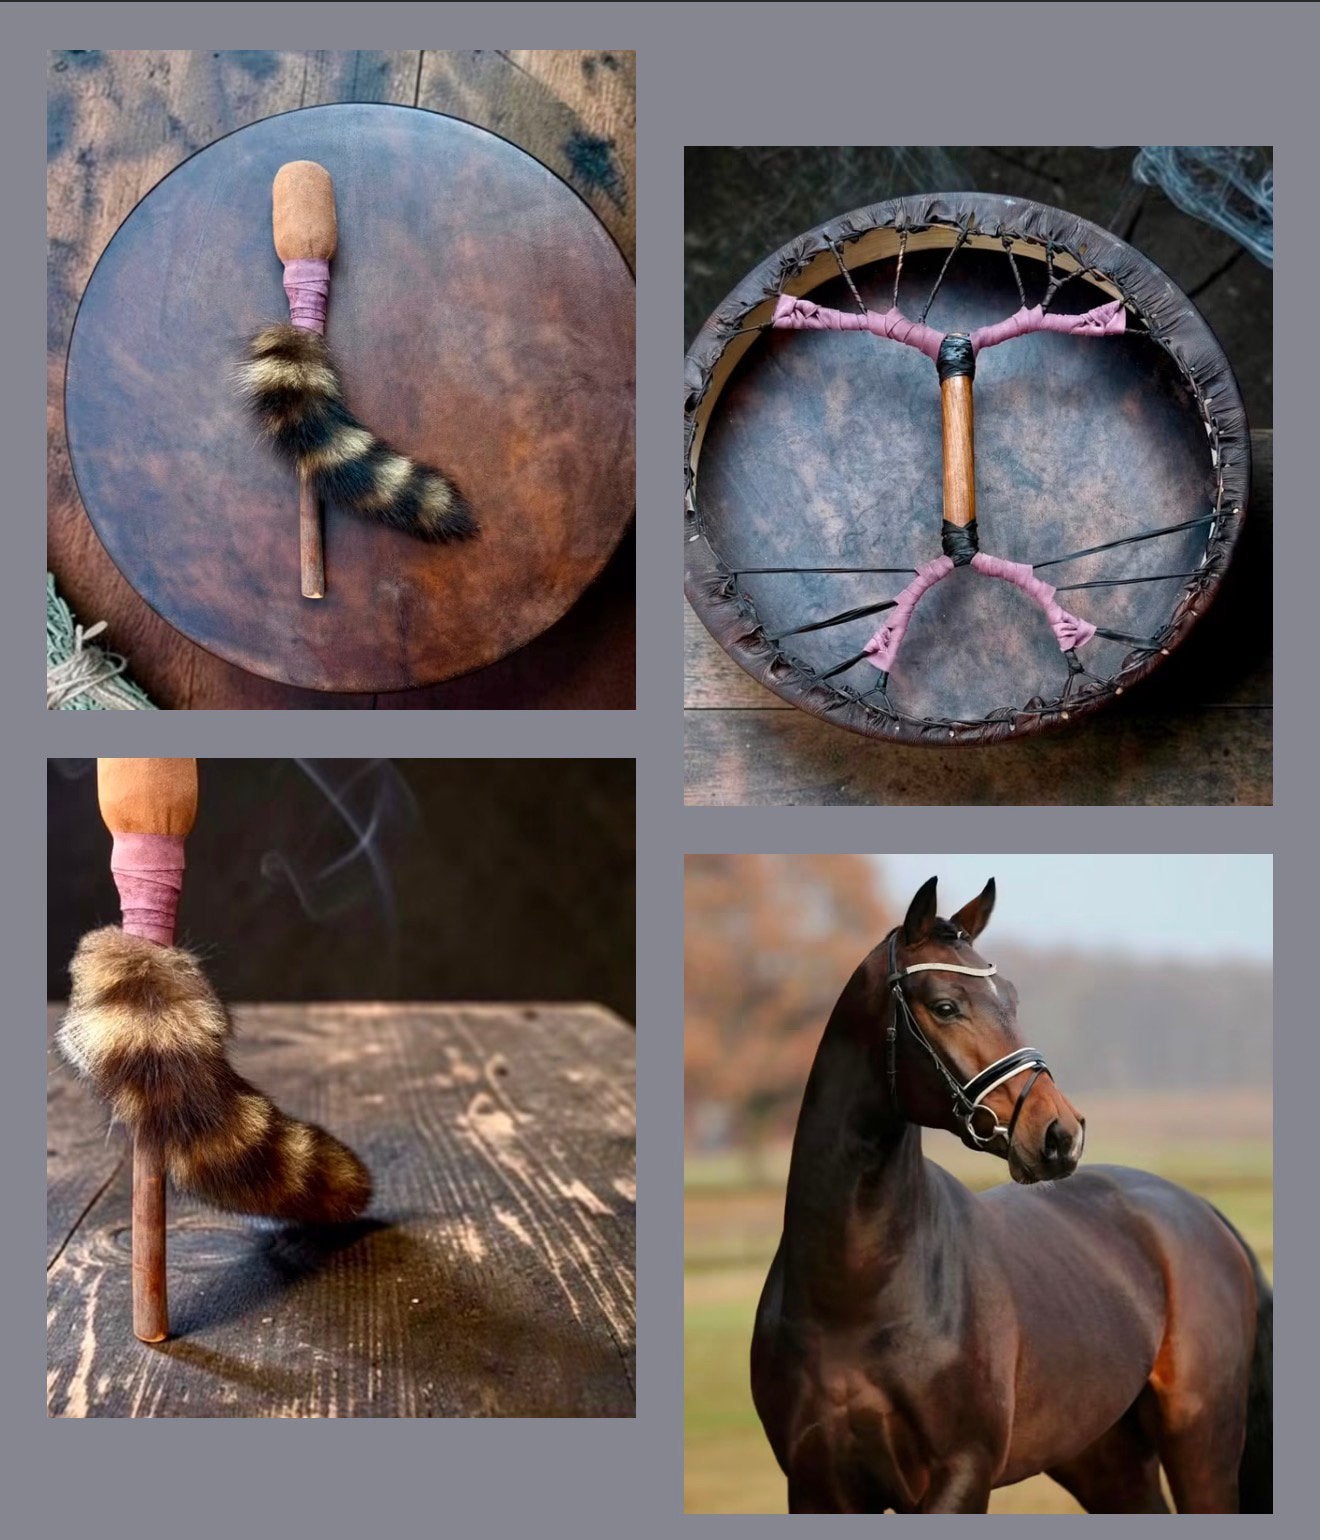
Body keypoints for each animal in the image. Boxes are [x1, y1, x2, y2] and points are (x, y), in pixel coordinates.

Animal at [750, 877, 1272, 1513]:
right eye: (945, 1006)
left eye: (1013, 1000)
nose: (1060, 1133)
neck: (856, 1294)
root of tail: (1205, 1214)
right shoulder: (816, 1486)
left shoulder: (961, 1475)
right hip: (1105, 1459)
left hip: (1201, 1445)